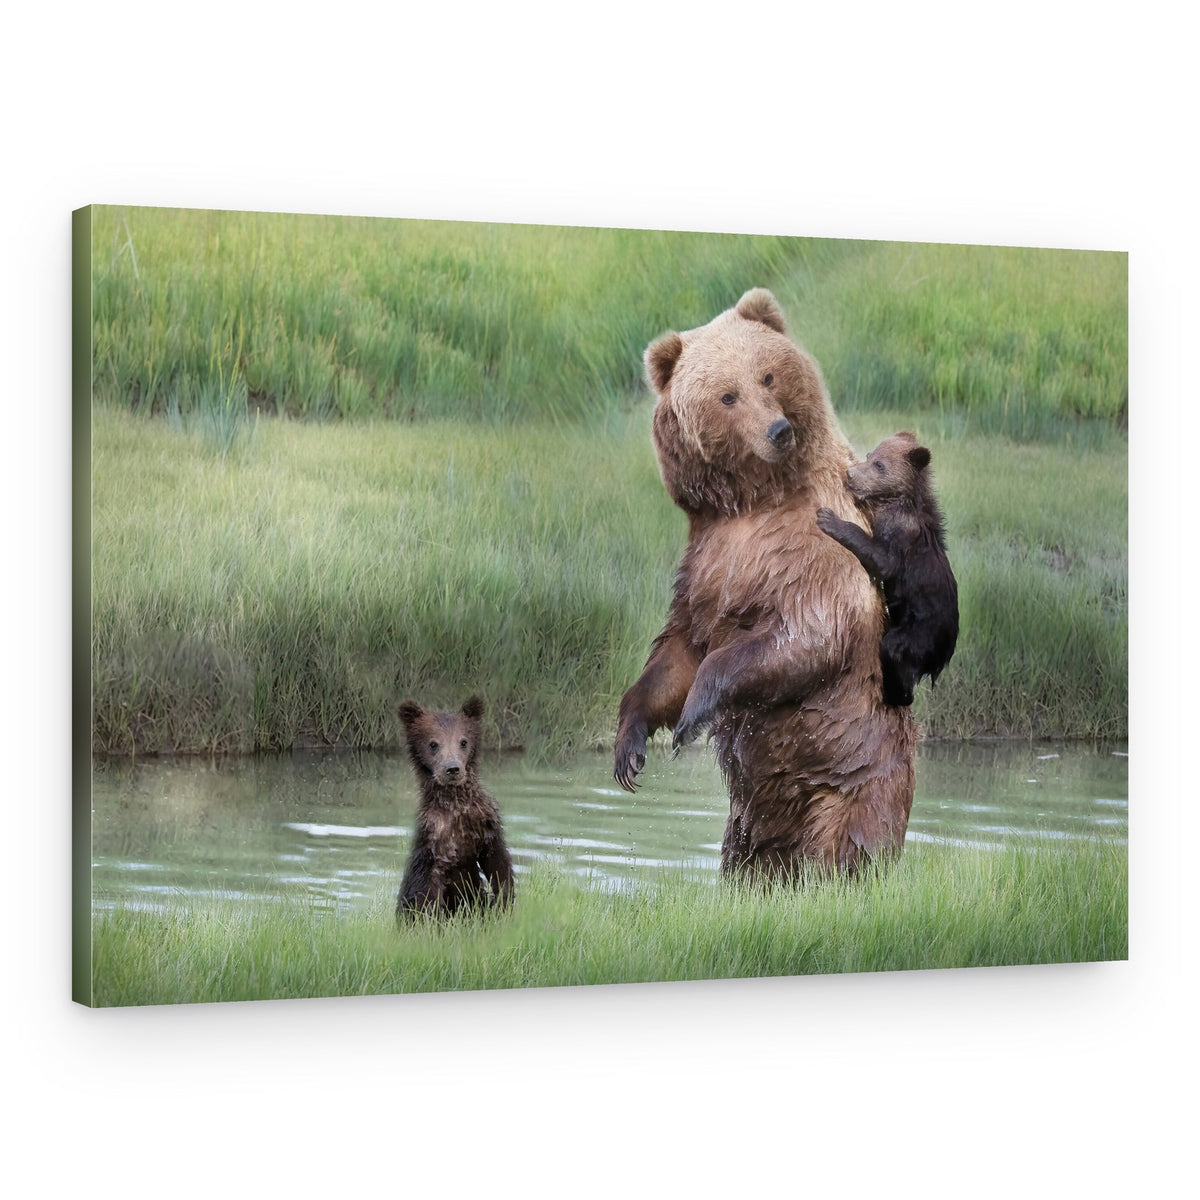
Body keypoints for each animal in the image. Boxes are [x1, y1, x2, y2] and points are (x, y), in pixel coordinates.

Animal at [395, 695, 514, 919]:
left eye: (463, 741)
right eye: (433, 744)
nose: (452, 769)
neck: (457, 808)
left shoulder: (486, 825)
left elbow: (499, 868)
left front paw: (504, 905)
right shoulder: (435, 844)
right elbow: (427, 895)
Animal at [613, 288, 916, 879]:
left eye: (769, 376)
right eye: (727, 396)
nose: (778, 431)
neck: (753, 501)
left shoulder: (814, 545)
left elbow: (807, 633)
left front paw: (693, 715)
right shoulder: (705, 564)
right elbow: (678, 651)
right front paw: (630, 748)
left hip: (854, 777)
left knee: (846, 844)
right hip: (750, 822)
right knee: (747, 858)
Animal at [816, 431, 959, 707]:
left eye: (880, 465)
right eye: (870, 455)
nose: (850, 474)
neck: (897, 501)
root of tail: (945, 656)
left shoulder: (901, 535)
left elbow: (884, 561)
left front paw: (828, 518)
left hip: (923, 629)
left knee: (895, 649)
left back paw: (894, 694)